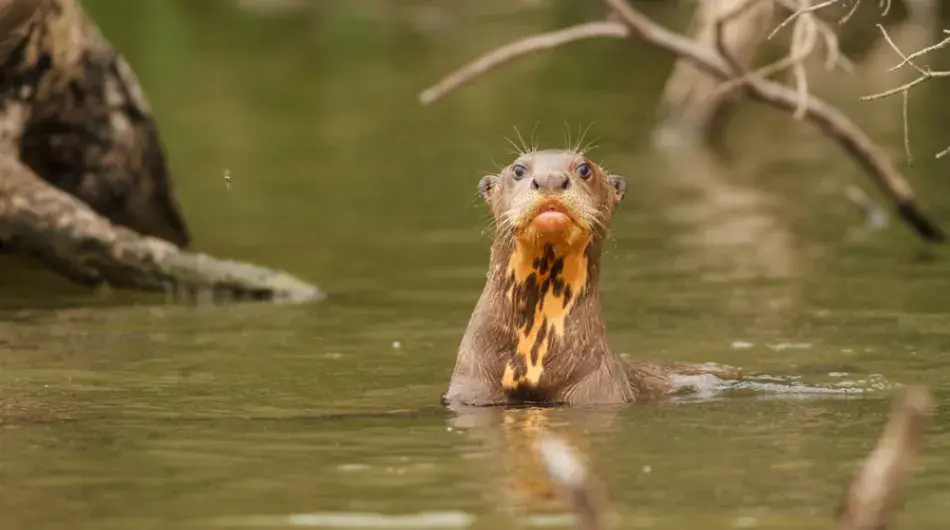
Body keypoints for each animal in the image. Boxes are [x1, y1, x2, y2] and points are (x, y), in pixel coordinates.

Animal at [444, 148, 733, 407]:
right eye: (518, 170)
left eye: (584, 168)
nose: (551, 179)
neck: (533, 363)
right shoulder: (473, 389)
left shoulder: (597, 390)